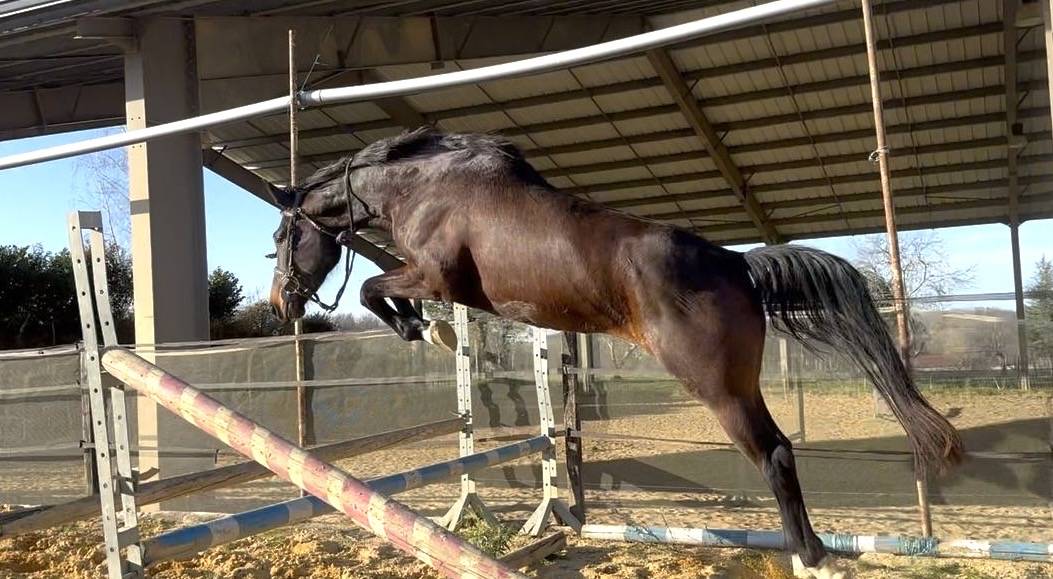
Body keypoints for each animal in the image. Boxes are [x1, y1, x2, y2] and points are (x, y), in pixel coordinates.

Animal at [267, 127, 963, 578]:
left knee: (774, 453)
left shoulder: (435, 277)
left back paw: (812, 560)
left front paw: (421, 330)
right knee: (779, 453)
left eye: (281, 236)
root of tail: (738, 264)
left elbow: (373, 286)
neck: (426, 186)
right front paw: (431, 332)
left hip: (718, 387)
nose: (281, 303)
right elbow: (387, 292)